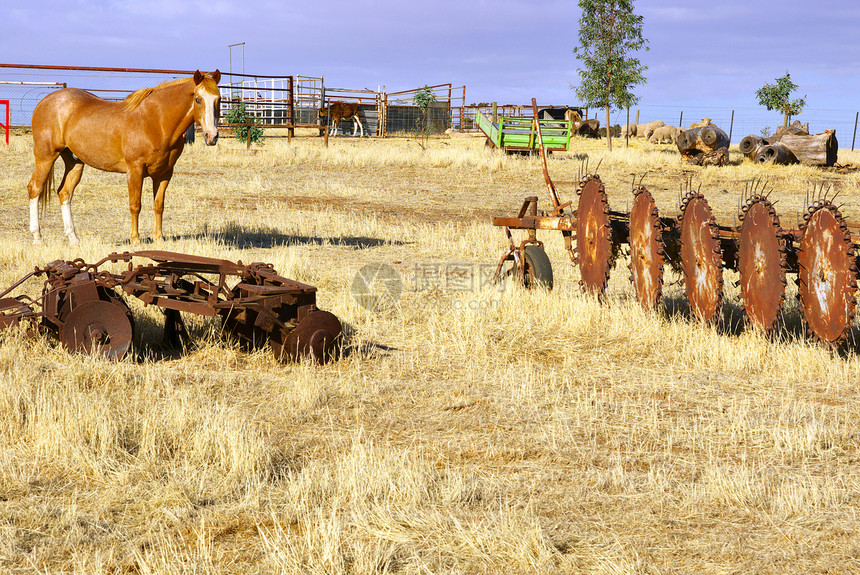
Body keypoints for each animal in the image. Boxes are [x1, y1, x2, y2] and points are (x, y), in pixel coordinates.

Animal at [29, 70, 223, 245]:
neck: (155, 121)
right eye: (198, 99)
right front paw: (135, 240)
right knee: (35, 189)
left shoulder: (164, 173)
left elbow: (158, 205)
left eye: (218, 99)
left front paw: (159, 238)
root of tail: (44, 102)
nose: (212, 136)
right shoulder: (135, 170)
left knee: (65, 193)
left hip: (75, 162)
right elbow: (135, 205)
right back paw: (37, 238)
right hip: (45, 156)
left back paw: (73, 238)